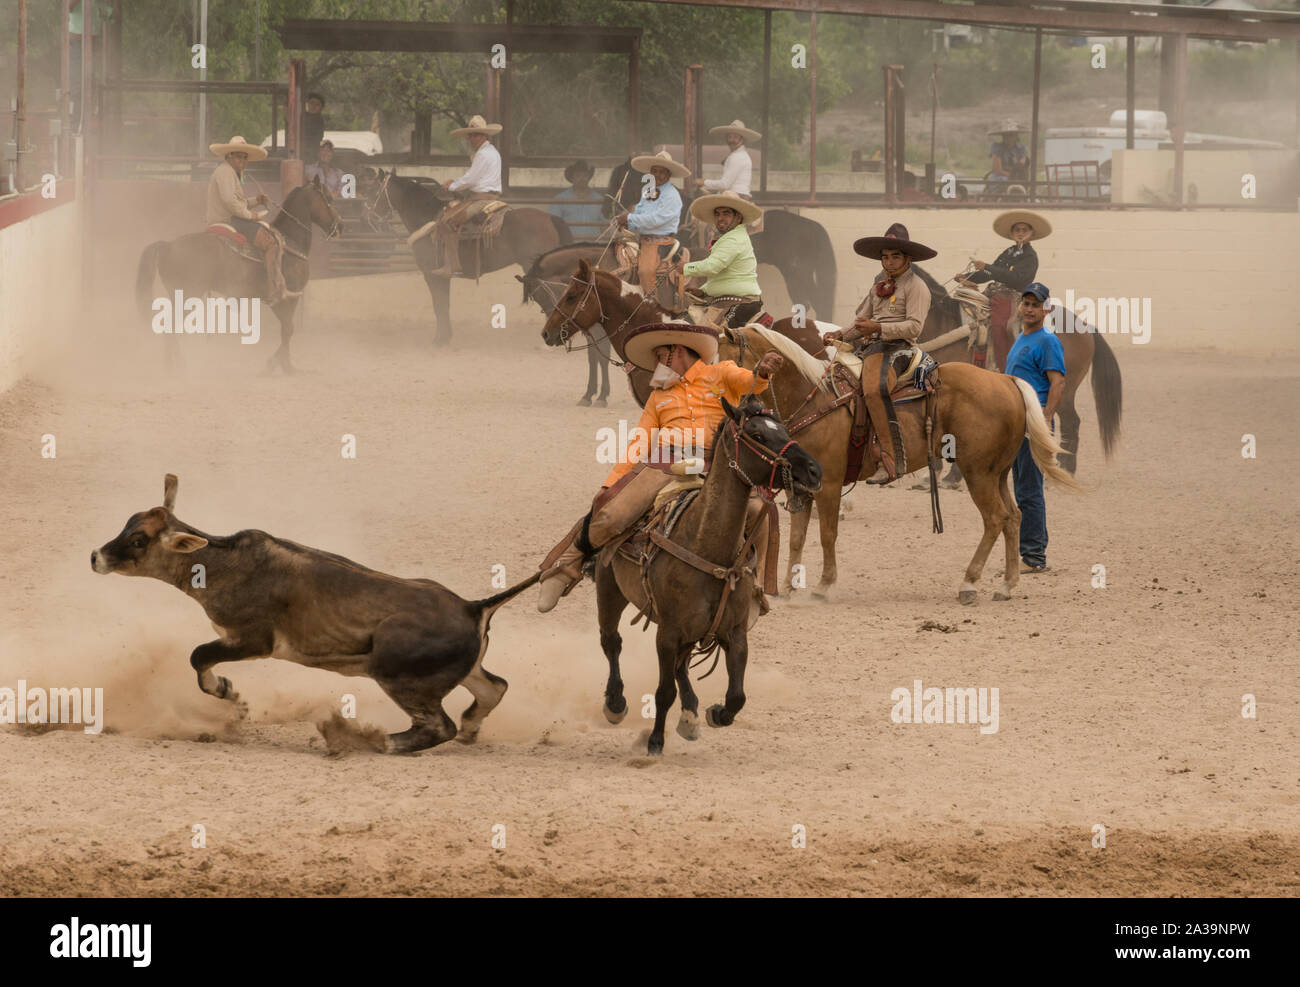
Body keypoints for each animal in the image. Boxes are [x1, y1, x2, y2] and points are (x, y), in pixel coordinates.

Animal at [133, 178, 340, 374]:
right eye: (329, 198)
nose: (341, 226)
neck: (290, 240)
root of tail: (168, 245)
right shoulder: (285, 299)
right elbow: (288, 330)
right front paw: (276, 365)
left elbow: (286, 331)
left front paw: (287, 366)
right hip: (187, 296)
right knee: (171, 326)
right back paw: (177, 368)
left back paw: (172, 366)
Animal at [364, 172, 572, 348]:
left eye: (373, 191)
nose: (368, 216)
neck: (426, 218)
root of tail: (551, 218)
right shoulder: (442, 277)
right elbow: (444, 305)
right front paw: (445, 337)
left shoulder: (433, 275)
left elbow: (439, 305)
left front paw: (439, 340)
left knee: (553, 293)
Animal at [595, 392, 816, 754]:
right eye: (757, 434)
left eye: (783, 428)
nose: (814, 470)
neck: (707, 546)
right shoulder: (667, 633)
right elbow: (663, 692)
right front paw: (655, 741)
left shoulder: (735, 634)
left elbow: (736, 696)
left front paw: (714, 714)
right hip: (609, 587)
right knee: (611, 642)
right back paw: (615, 704)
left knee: (682, 666)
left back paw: (690, 713)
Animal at [717, 323, 1081, 603]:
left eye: (730, 364)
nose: (723, 406)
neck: (815, 399)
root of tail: (1006, 380)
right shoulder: (802, 485)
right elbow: (797, 538)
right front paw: (790, 588)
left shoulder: (829, 483)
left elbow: (827, 534)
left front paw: (823, 585)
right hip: (997, 472)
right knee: (1013, 517)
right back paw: (1006, 585)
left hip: (977, 473)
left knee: (995, 519)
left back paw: (969, 583)